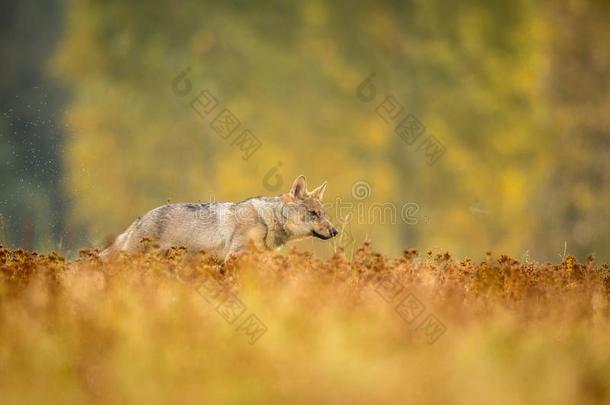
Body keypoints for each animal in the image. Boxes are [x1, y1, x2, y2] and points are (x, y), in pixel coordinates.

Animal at [100, 175, 338, 260]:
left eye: (324, 214)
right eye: (314, 213)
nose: (335, 231)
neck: (266, 221)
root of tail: (138, 220)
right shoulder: (234, 256)